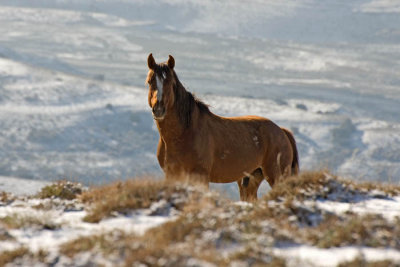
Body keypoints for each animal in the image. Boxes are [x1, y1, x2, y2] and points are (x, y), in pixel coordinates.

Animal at [145, 54, 298, 201]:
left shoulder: (201, 177)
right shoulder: (172, 176)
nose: (158, 109)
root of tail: (281, 131)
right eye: (150, 81)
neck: (184, 134)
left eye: (170, 82)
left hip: (276, 177)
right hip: (251, 179)